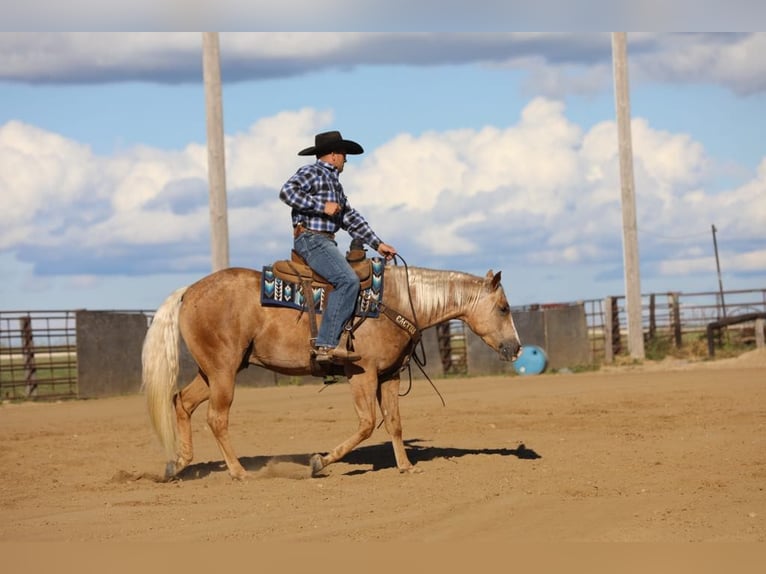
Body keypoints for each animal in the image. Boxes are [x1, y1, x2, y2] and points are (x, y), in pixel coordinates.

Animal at [140, 264, 520, 482]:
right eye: (503, 308)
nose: (516, 348)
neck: (396, 299)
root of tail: (188, 292)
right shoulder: (362, 373)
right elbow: (367, 423)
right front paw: (319, 462)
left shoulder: (390, 375)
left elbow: (394, 423)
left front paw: (406, 466)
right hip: (223, 371)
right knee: (216, 418)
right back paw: (238, 472)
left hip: (214, 371)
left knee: (181, 402)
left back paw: (178, 464)